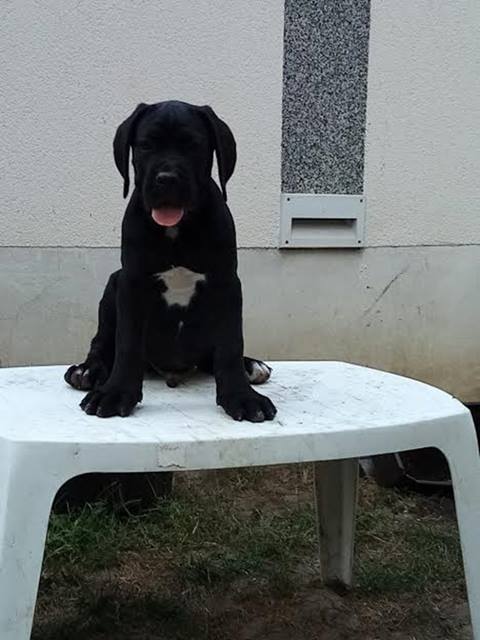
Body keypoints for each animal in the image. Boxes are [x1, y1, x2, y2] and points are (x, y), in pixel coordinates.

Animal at [65, 100, 277, 423]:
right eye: (145, 146)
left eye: (193, 146)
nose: (167, 179)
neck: (176, 230)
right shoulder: (132, 283)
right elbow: (127, 343)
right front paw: (115, 393)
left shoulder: (227, 284)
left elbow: (230, 343)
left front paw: (241, 396)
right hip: (114, 283)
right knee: (102, 343)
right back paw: (88, 371)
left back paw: (250, 365)